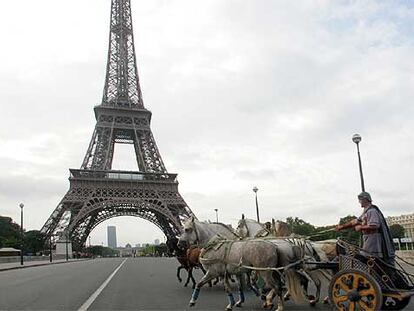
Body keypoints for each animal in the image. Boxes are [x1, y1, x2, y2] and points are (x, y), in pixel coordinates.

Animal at [178, 218, 308, 310]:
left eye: (188, 229)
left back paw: (277, 305)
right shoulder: (232, 272)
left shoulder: (214, 272)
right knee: (286, 283)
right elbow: (234, 288)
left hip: (266, 272)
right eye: (183, 228)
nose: (180, 244)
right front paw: (235, 303)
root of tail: (275, 246)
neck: (216, 245)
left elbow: (203, 284)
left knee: (278, 287)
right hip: (276, 271)